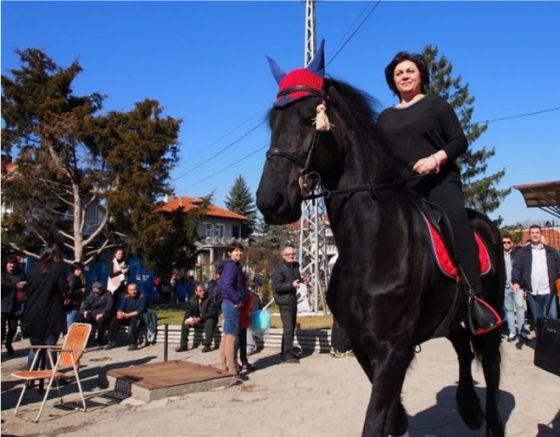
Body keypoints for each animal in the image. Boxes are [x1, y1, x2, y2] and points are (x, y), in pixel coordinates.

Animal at [256, 45, 506, 436]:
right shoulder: (363, 346)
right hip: (448, 318)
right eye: (272, 122)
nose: (271, 201)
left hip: (490, 315)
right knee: (463, 349)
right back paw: (468, 407)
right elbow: (390, 415)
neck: (372, 243)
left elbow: (375, 420)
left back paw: (489, 418)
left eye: (311, 118)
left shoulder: (393, 350)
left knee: (491, 366)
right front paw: (401, 418)